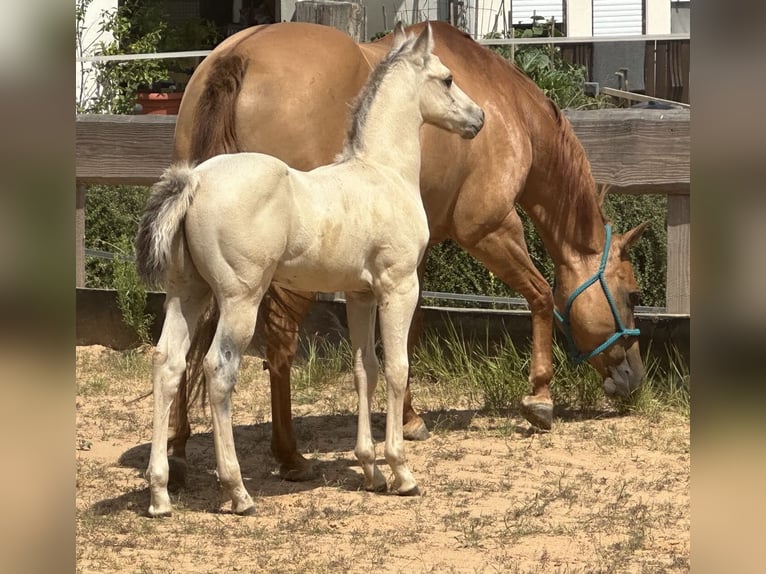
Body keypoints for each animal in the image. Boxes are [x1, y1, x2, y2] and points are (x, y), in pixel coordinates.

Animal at [136, 24, 485, 517]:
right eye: (448, 78)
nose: (479, 118)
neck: (382, 172)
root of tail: (195, 180)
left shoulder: (360, 295)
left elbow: (364, 369)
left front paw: (370, 470)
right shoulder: (399, 286)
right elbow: (397, 368)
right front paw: (401, 472)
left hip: (188, 293)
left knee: (167, 365)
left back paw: (161, 496)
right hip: (240, 300)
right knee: (219, 370)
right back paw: (238, 492)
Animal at [168, 21, 648, 485]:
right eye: (633, 294)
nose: (634, 380)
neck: (510, 108)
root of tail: (237, 57)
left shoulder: (411, 257)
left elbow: (409, 332)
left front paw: (410, 418)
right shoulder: (490, 229)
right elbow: (541, 295)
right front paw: (540, 398)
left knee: (185, 351)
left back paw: (176, 455)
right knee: (278, 344)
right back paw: (288, 457)